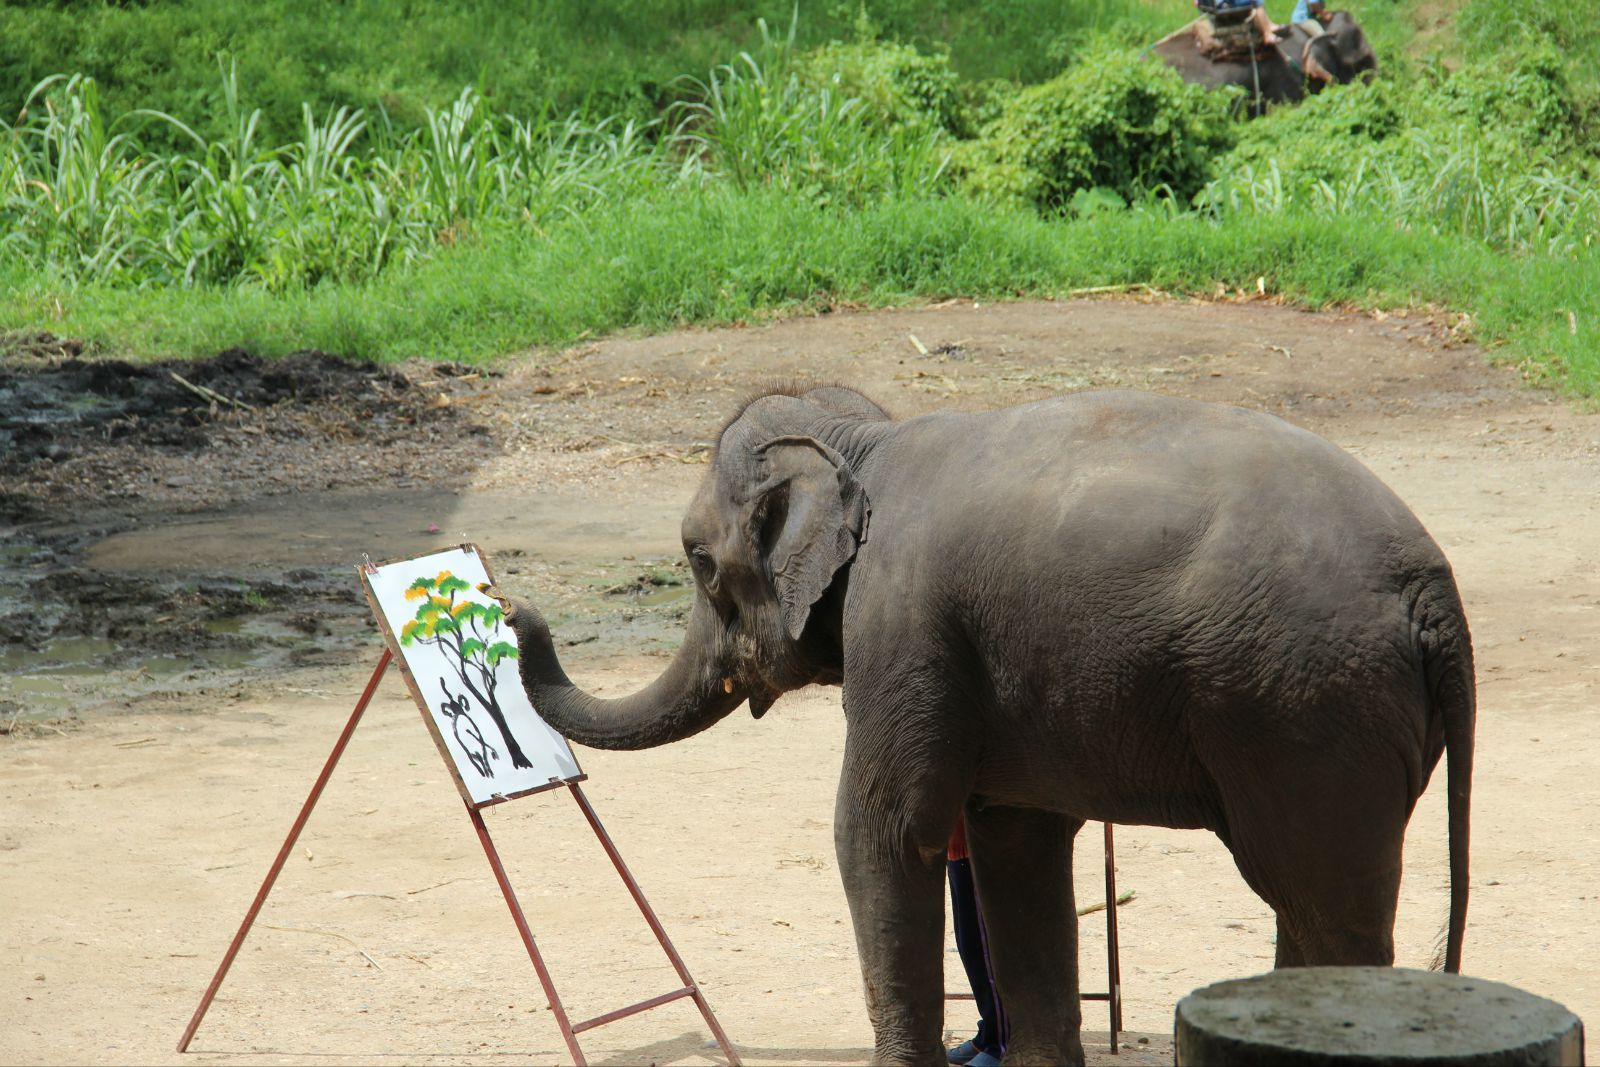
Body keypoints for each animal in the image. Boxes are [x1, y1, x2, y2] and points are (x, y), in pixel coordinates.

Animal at [496, 385, 1472, 1067]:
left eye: (698, 562)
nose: (508, 607)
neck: (865, 442)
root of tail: (1434, 586)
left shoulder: (901, 620)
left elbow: (884, 833)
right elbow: (1015, 843)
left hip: (1309, 709)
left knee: (1327, 905)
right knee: (1308, 904)